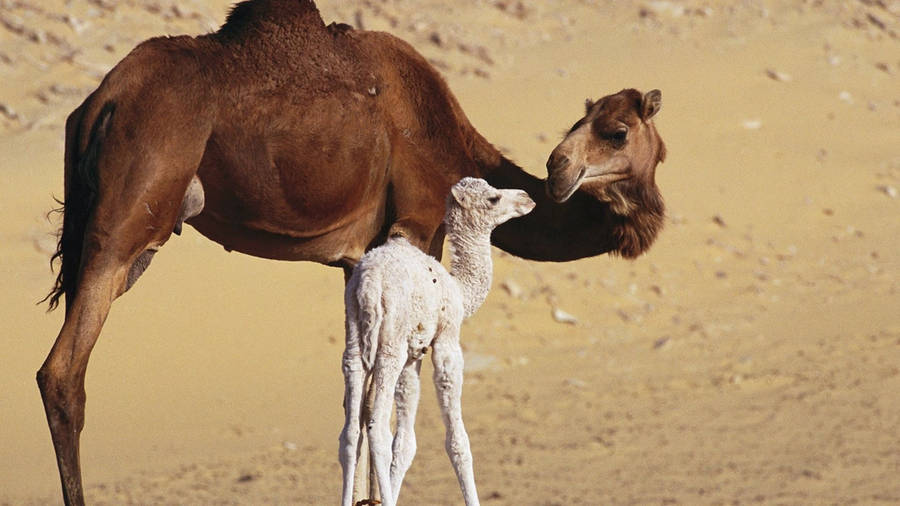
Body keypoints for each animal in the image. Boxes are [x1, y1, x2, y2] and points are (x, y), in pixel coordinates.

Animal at [341, 178, 535, 506]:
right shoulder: (446, 341)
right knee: (377, 427)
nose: (527, 198)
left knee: (350, 431)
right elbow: (458, 441)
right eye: (493, 198)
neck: (458, 289)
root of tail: (369, 284)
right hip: (390, 342)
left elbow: (405, 442)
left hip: (355, 337)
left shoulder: (414, 354)